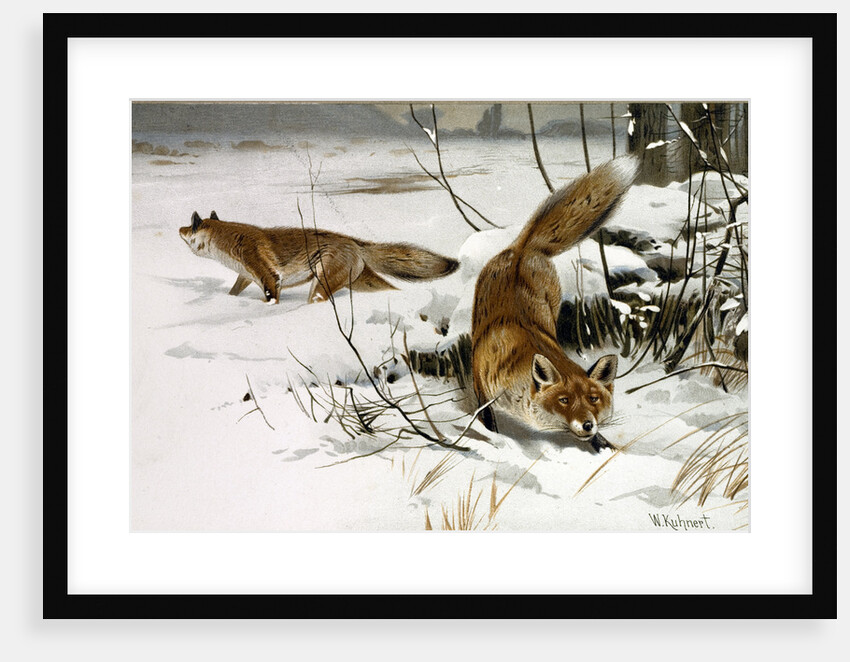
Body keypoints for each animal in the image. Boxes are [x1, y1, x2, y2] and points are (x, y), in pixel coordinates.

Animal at [179, 211, 459, 304]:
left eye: (190, 226)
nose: (178, 229)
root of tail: (354, 242)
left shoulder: (269, 277)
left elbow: (271, 300)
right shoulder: (246, 276)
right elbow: (233, 292)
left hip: (321, 285)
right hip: (361, 282)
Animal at [470, 155, 640, 452]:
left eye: (593, 399)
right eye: (564, 401)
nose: (588, 424)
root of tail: (522, 248)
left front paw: (606, 448)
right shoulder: (482, 384)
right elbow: (486, 417)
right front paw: (494, 438)